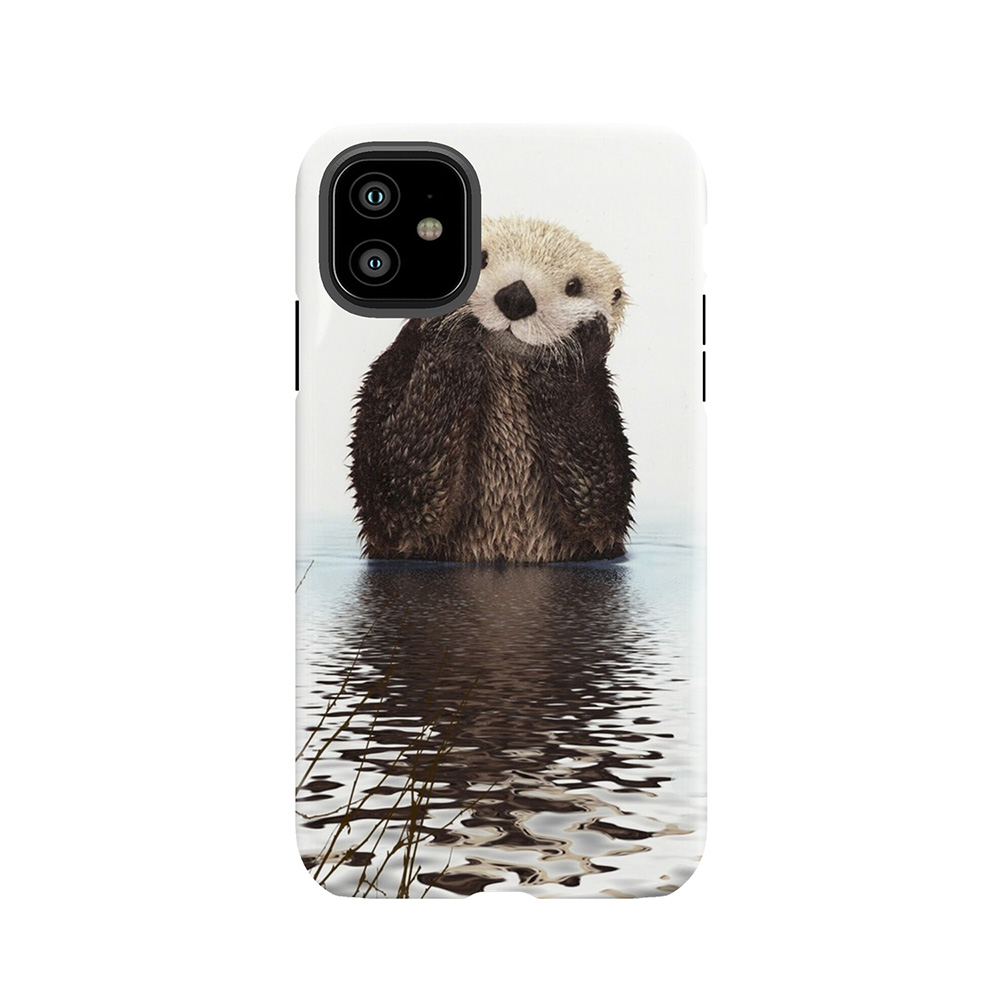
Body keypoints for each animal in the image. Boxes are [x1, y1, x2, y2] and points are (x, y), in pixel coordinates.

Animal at [349, 217, 634, 563]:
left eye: (573, 286)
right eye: (481, 258)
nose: (517, 297)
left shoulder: (601, 406)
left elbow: (600, 499)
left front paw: (578, 342)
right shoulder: (391, 376)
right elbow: (398, 488)